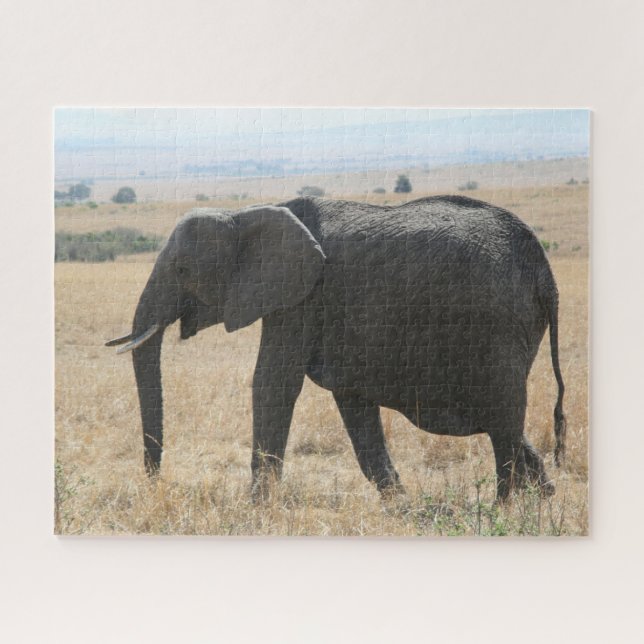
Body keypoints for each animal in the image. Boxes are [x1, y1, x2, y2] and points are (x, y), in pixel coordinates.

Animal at [107, 195, 566, 500]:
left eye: (183, 269)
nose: (156, 483)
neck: (247, 213)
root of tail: (546, 274)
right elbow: (353, 403)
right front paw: (400, 505)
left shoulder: (302, 298)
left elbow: (273, 382)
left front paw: (257, 506)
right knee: (506, 419)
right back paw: (542, 500)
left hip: (497, 321)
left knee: (503, 419)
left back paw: (503, 510)